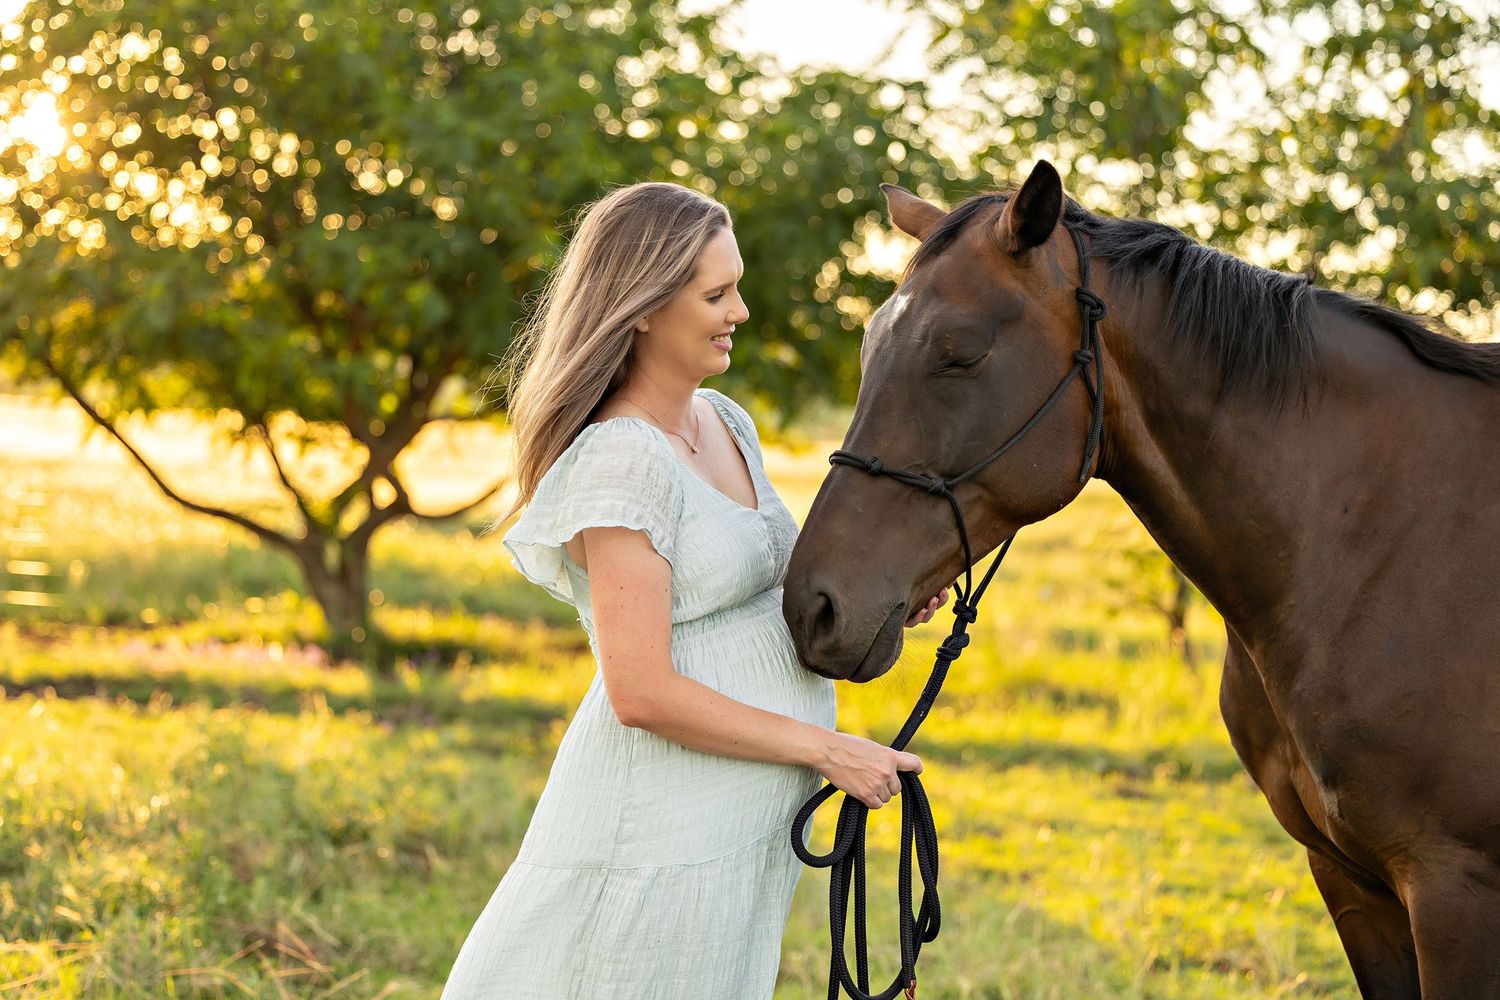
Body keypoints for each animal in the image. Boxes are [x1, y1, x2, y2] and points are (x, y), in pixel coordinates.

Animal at [781, 159, 1500, 998]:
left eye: (961, 352)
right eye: (868, 348)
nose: (813, 607)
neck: (1379, 540)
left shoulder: (1454, 889)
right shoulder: (1351, 882)